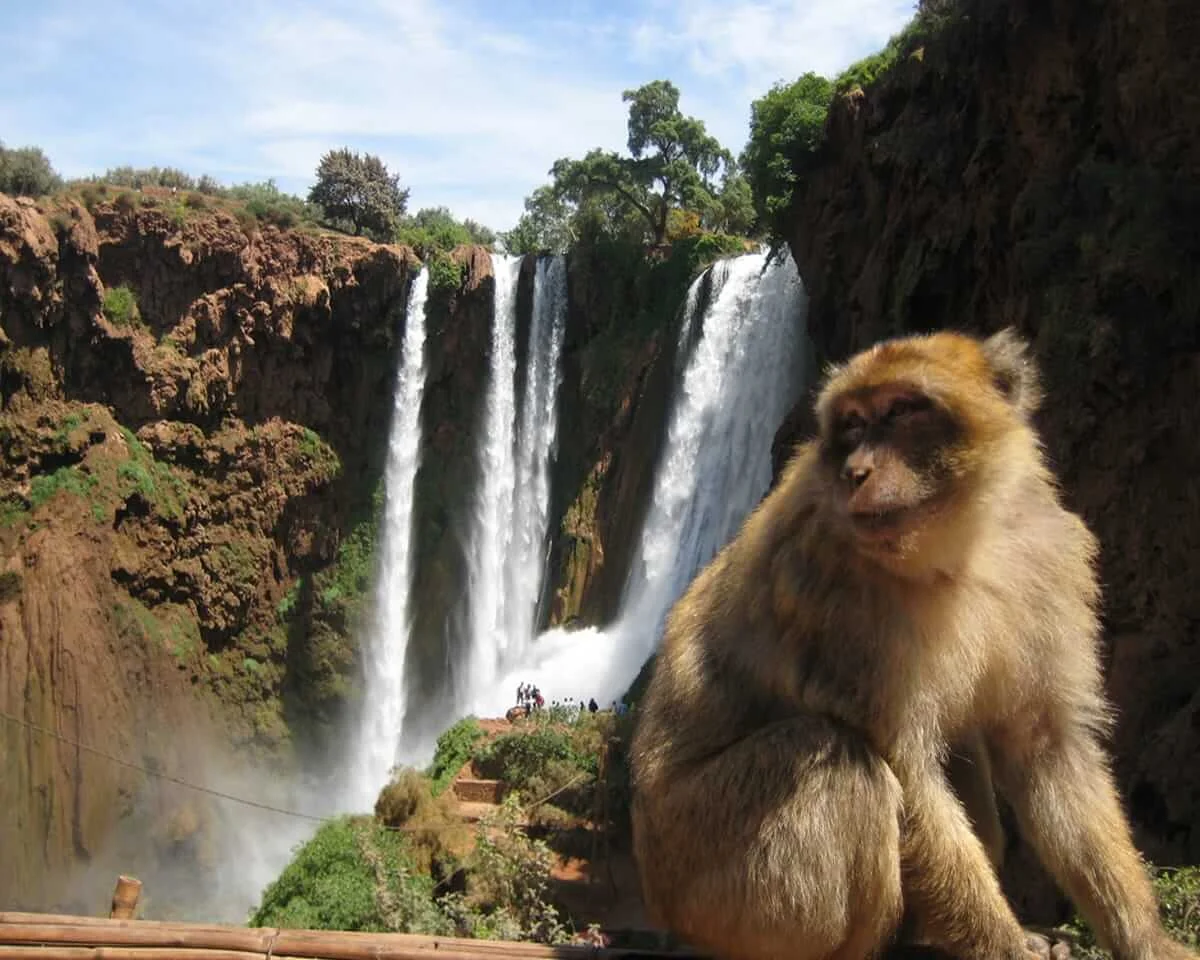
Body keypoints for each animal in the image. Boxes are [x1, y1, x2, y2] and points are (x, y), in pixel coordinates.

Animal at [629, 328, 1197, 960]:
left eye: (902, 411)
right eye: (853, 423)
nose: (855, 470)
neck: (956, 547)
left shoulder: (1046, 559)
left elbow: (1046, 746)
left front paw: (1146, 939)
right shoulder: (835, 597)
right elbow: (909, 769)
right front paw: (1002, 946)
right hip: (707, 874)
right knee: (835, 758)